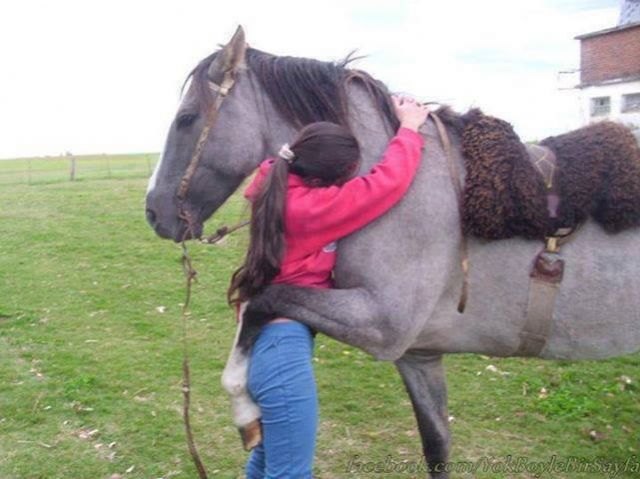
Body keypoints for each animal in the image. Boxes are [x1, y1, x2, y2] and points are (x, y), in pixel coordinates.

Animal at [145, 27, 640, 479]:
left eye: (187, 118)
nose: (153, 211)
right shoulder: (416, 356)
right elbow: (437, 447)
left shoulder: (381, 325)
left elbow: (261, 300)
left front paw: (243, 404)